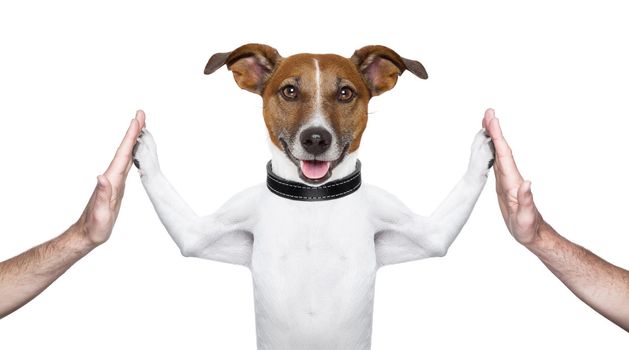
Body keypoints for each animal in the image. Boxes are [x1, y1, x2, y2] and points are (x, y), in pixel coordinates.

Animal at [132, 44, 496, 350]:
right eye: (290, 91)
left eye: (345, 93)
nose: (316, 138)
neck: (314, 197)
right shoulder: (198, 235)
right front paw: (142, 145)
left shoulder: (428, 235)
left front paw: (485, 145)